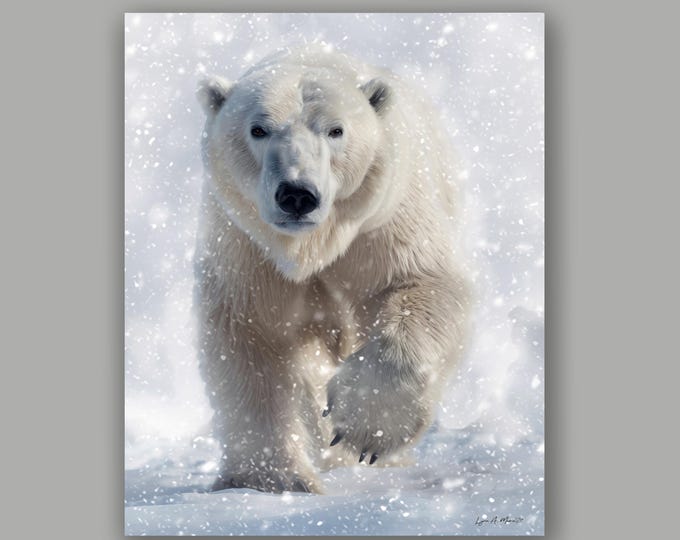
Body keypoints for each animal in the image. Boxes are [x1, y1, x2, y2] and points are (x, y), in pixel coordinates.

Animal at [194, 46, 470, 494]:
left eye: (336, 130)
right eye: (258, 129)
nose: (296, 194)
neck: (313, 246)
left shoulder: (384, 223)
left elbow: (425, 285)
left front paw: (367, 429)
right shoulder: (247, 250)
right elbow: (251, 333)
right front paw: (272, 480)